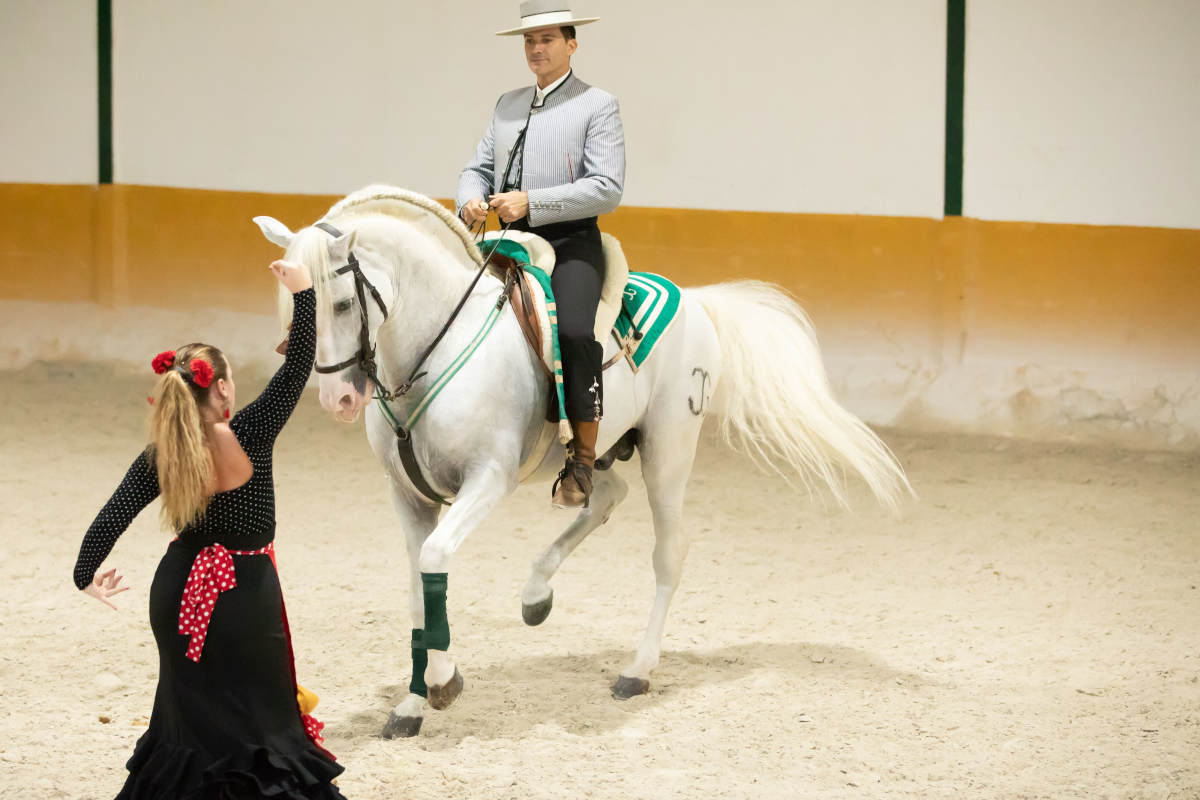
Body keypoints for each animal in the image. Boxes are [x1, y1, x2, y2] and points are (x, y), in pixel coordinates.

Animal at [255, 185, 907, 738]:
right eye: (295, 304)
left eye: (342, 303)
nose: (338, 400)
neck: (436, 346)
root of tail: (694, 301)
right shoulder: (408, 495)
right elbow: (418, 586)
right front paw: (415, 702)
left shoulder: (487, 480)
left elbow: (436, 560)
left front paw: (440, 687)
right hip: (596, 455)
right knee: (602, 495)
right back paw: (535, 595)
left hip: (668, 452)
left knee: (669, 552)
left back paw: (636, 671)